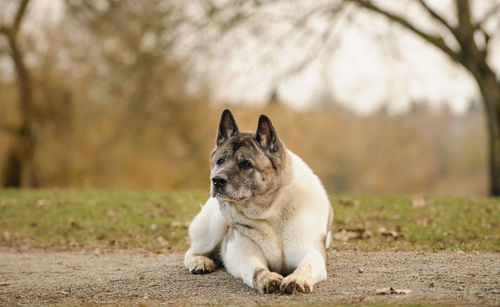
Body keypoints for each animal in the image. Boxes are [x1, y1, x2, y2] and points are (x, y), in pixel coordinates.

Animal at [184, 109, 332, 294]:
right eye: (220, 161)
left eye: (246, 164)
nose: (216, 180)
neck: (271, 210)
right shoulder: (249, 258)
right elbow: (257, 271)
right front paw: (268, 279)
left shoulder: (311, 251)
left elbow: (306, 266)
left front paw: (297, 279)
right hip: (213, 227)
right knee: (191, 252)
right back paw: (200, 262)